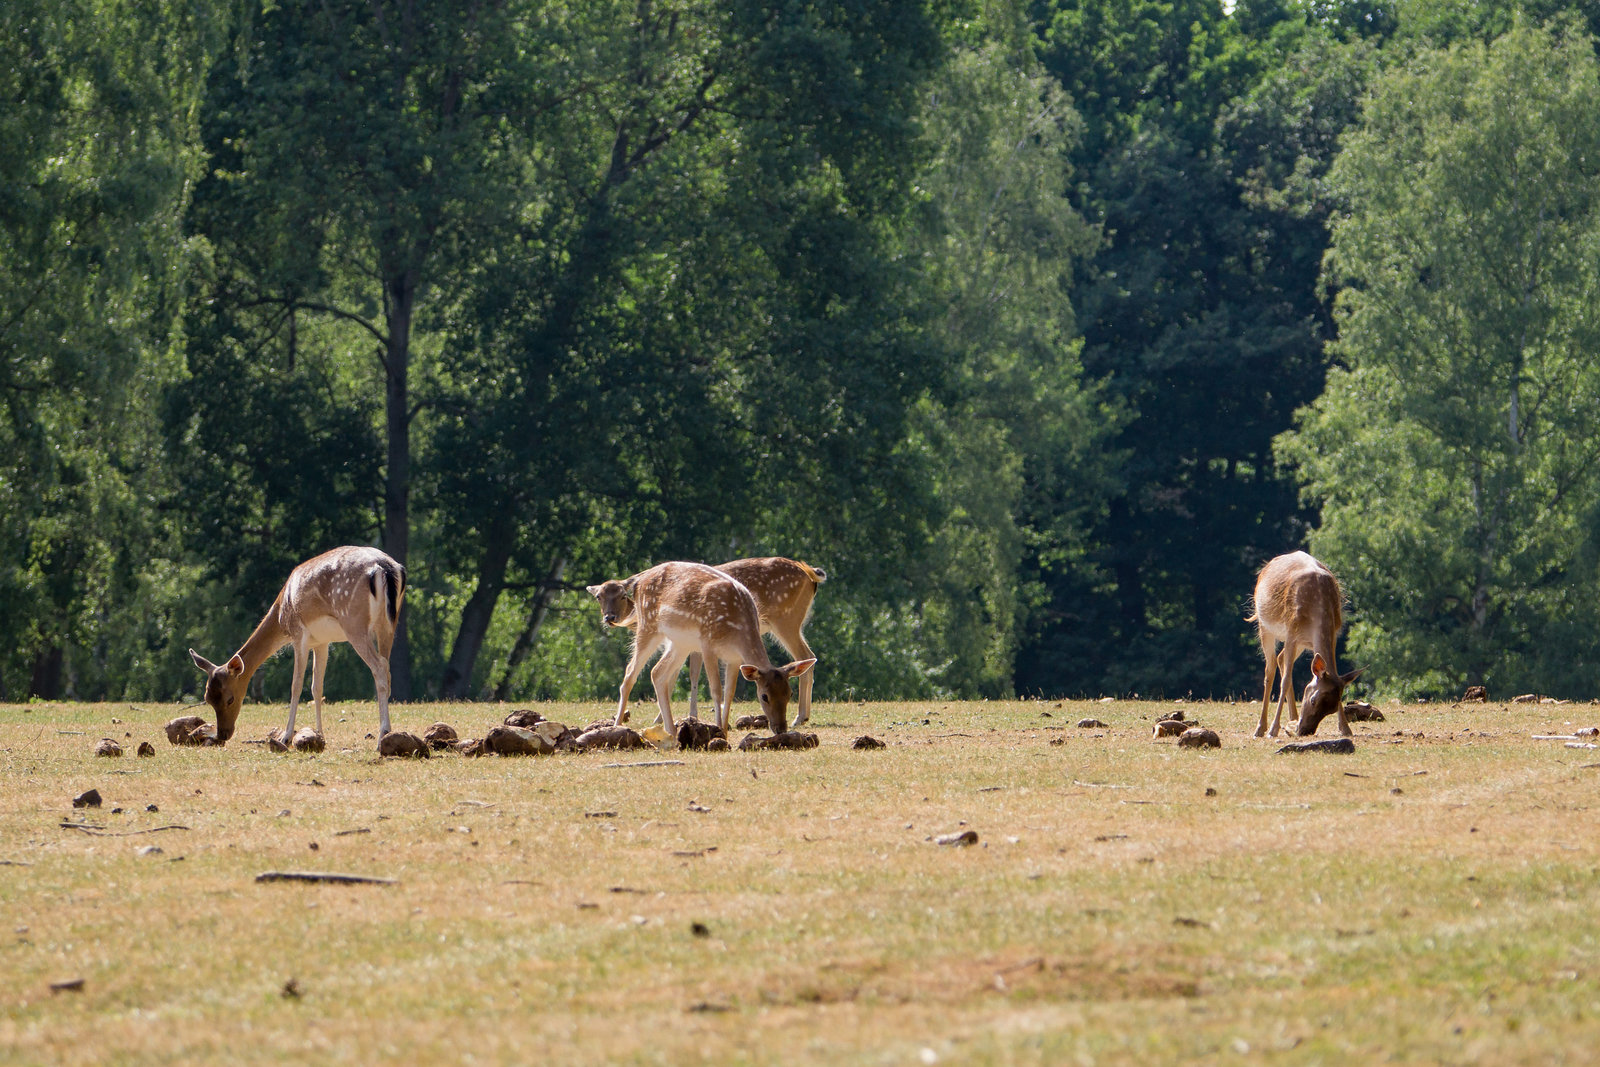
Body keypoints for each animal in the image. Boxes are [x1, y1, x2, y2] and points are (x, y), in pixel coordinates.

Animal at [187, 547, 406, 748]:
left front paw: (286, 737)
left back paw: (382, 735)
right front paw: (320, 735)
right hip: (388, 624)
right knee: (387, 668)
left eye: (230, 699)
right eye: (207, 698)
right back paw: (387, 733)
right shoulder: (322, 642)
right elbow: (317, 687)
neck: (280, 615)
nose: (223, 734)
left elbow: (296, 685)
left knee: (379, 666)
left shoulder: (298, 634)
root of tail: (384, 568)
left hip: (354, 622)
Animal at [585, 559, 819, 742]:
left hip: (681, 642)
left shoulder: (734, 658)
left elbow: (729, 691)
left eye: (789, 693)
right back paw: (618, 725)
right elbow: (715, 689)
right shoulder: (707, 643)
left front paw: (723, 728)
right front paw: (719, 731)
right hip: (650, 627)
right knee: (631, 672)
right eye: (764, 696)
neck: (738, 628)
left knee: (657, 673)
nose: (780, 729)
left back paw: (670, 731)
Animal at [1248, 547, 1363, 739]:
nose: (1305, 731)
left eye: (1332, 709)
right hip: (1264, 625)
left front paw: (1346, 729)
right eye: (1313, 700)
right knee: (1270, 669)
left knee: (1280, 659)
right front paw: (1273, 730)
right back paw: (1261, 728)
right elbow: (1285, 680)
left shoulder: (1333, 634)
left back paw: (1292, 718)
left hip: (1302, 643)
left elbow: (1335, 674)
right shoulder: (1291, 632)